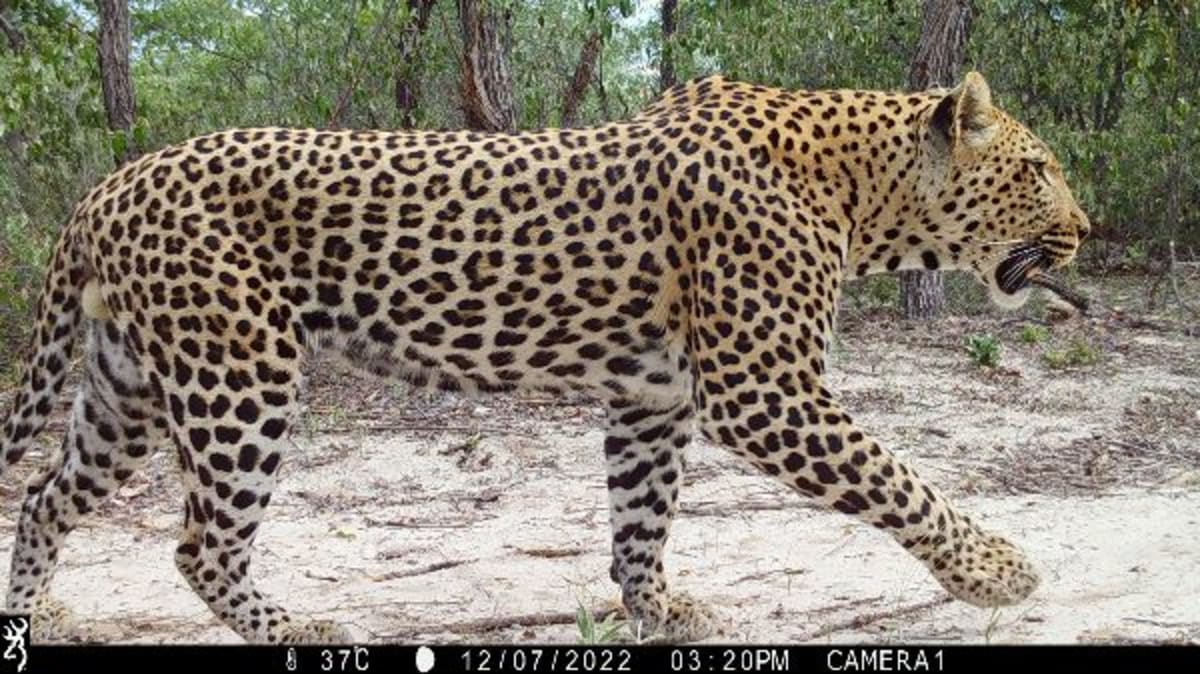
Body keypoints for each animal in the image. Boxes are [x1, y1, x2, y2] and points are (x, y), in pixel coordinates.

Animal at [0, 71, 1087, 643]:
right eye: (1038, 169)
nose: (1084, 231)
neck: (864, 198)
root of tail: (107, 185)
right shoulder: (763, 391)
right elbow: (902, 480)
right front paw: (996, 570)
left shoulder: (654, 397)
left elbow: (641, 518)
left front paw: (660, 609)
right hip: (237, 375)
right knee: (199, 543)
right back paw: (296, 630)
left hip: (128, 385)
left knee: (46, 496)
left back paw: (34, 612)